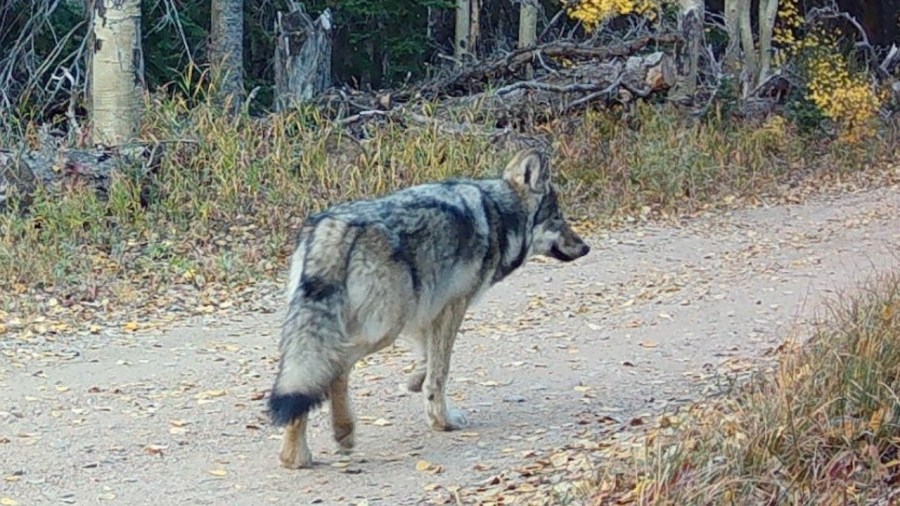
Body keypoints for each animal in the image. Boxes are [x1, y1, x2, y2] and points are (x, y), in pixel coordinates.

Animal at [267, 147, 590, 469]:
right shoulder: (452, 305)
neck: (498, 214)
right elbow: (440, 370)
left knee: (308, 381)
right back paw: (339, 434)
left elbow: (427, 359)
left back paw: (295, 455)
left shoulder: (426, 313)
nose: (586, 247)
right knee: (334, 369)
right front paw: (443, 421)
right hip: (384, 329)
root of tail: (332, 226)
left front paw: (414, 382)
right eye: (558, 218)